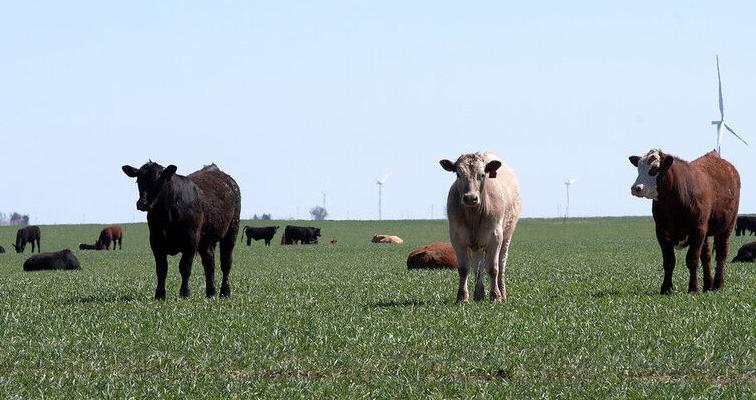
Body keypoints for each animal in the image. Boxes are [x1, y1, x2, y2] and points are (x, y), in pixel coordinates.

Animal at [123, 162, 241, 299]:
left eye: (159, 180)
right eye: (138, 180)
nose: (143, 203)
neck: (167, 216)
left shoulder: (191, 241)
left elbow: (185, 267)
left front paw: (185, 293)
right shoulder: (156, 242)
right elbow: (161, 269)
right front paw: (159, 294)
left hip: (232, 230)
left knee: (226, 262)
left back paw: (225, 292)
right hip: (206, 241)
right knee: (209, 263)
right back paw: (210, 293)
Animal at [440, 151, 521, 302]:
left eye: (482, 175)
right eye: (458, 174)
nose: (470, 198)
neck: (473, 215)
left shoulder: (496, 237)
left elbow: (493, 269)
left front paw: (495, 296)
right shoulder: (457, 238)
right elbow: (464, 269)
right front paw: (462, 297)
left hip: (507, 236)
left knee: (501, 264)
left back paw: (502, 293)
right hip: (477, 244)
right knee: (478, 266)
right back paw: (479, 294)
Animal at [629, 149, 740, 294]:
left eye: (654, 168)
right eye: (638, 168)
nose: (636, 188)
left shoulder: (698, 230)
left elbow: (692, 260)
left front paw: (693, 288)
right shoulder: (661, 231)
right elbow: (669, 261)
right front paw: (666, 288)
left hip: (727, 227)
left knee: (721, 255)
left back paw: (718, 285)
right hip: (705, 234)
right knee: (706, 257)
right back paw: (707, 286)